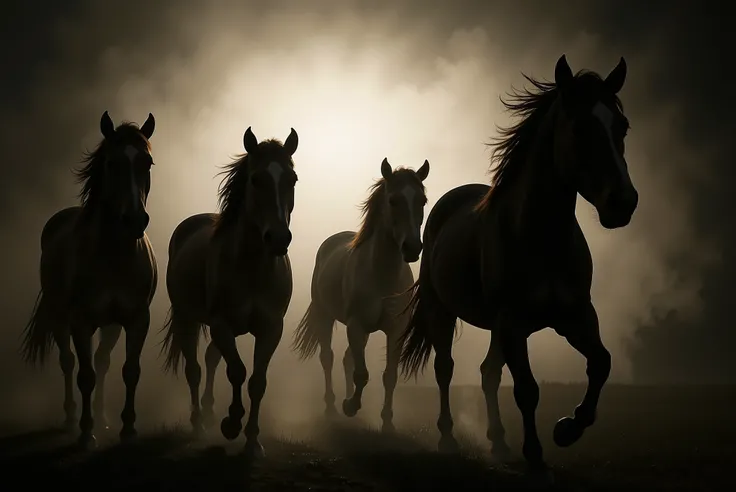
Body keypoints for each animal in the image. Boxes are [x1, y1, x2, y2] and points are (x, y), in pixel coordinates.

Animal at [21, 111, 158, 448]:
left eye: (147, 162)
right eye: (112, 163)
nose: (135, 220)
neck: (113, 256)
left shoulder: (136, 320)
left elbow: (129, 371)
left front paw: (127, 428)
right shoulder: (80, 321)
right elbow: (84, 375)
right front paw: (86, 433)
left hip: (109, 326)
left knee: (102, 361)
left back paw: (103, 417)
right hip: (60, 318)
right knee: (69, 362)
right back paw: (72, 419)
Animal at [161, 126, 299, 458]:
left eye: (292, 179)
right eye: (256, 179)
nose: (279, 238)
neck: (251, 267)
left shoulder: (270, 328)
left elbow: (257, 381)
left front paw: (252, 441)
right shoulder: (221, 323)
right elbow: (236, 371)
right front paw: (232, 424)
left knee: (211, 358)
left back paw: (210, 413)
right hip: (187, 319)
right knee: (195, 369)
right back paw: (199, 424)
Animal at [292, 158, 430, 432]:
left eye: (422, 201)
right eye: (393, 200)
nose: (412, 247)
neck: (382, 278)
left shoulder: (395, 331)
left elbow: (389, 375)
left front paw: (386, 422)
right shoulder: (356, 325)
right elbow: (361, 374)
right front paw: (350, 406)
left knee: (346, 359)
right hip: (326, 317)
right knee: (328, 358)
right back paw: (333, 407)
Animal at [398, 55, 637, 471]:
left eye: (620, 126)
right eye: (580, 126)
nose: (622, 202)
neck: (543, 240)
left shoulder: (574, 316)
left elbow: (601, 362)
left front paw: (567, 428)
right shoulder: (513, 322)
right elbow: (527, 389)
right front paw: (536, 454)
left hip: (499, 327)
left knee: (488, 373)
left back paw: (498, 442)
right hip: (444, 311)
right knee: (446, 369)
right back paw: (448, 438)